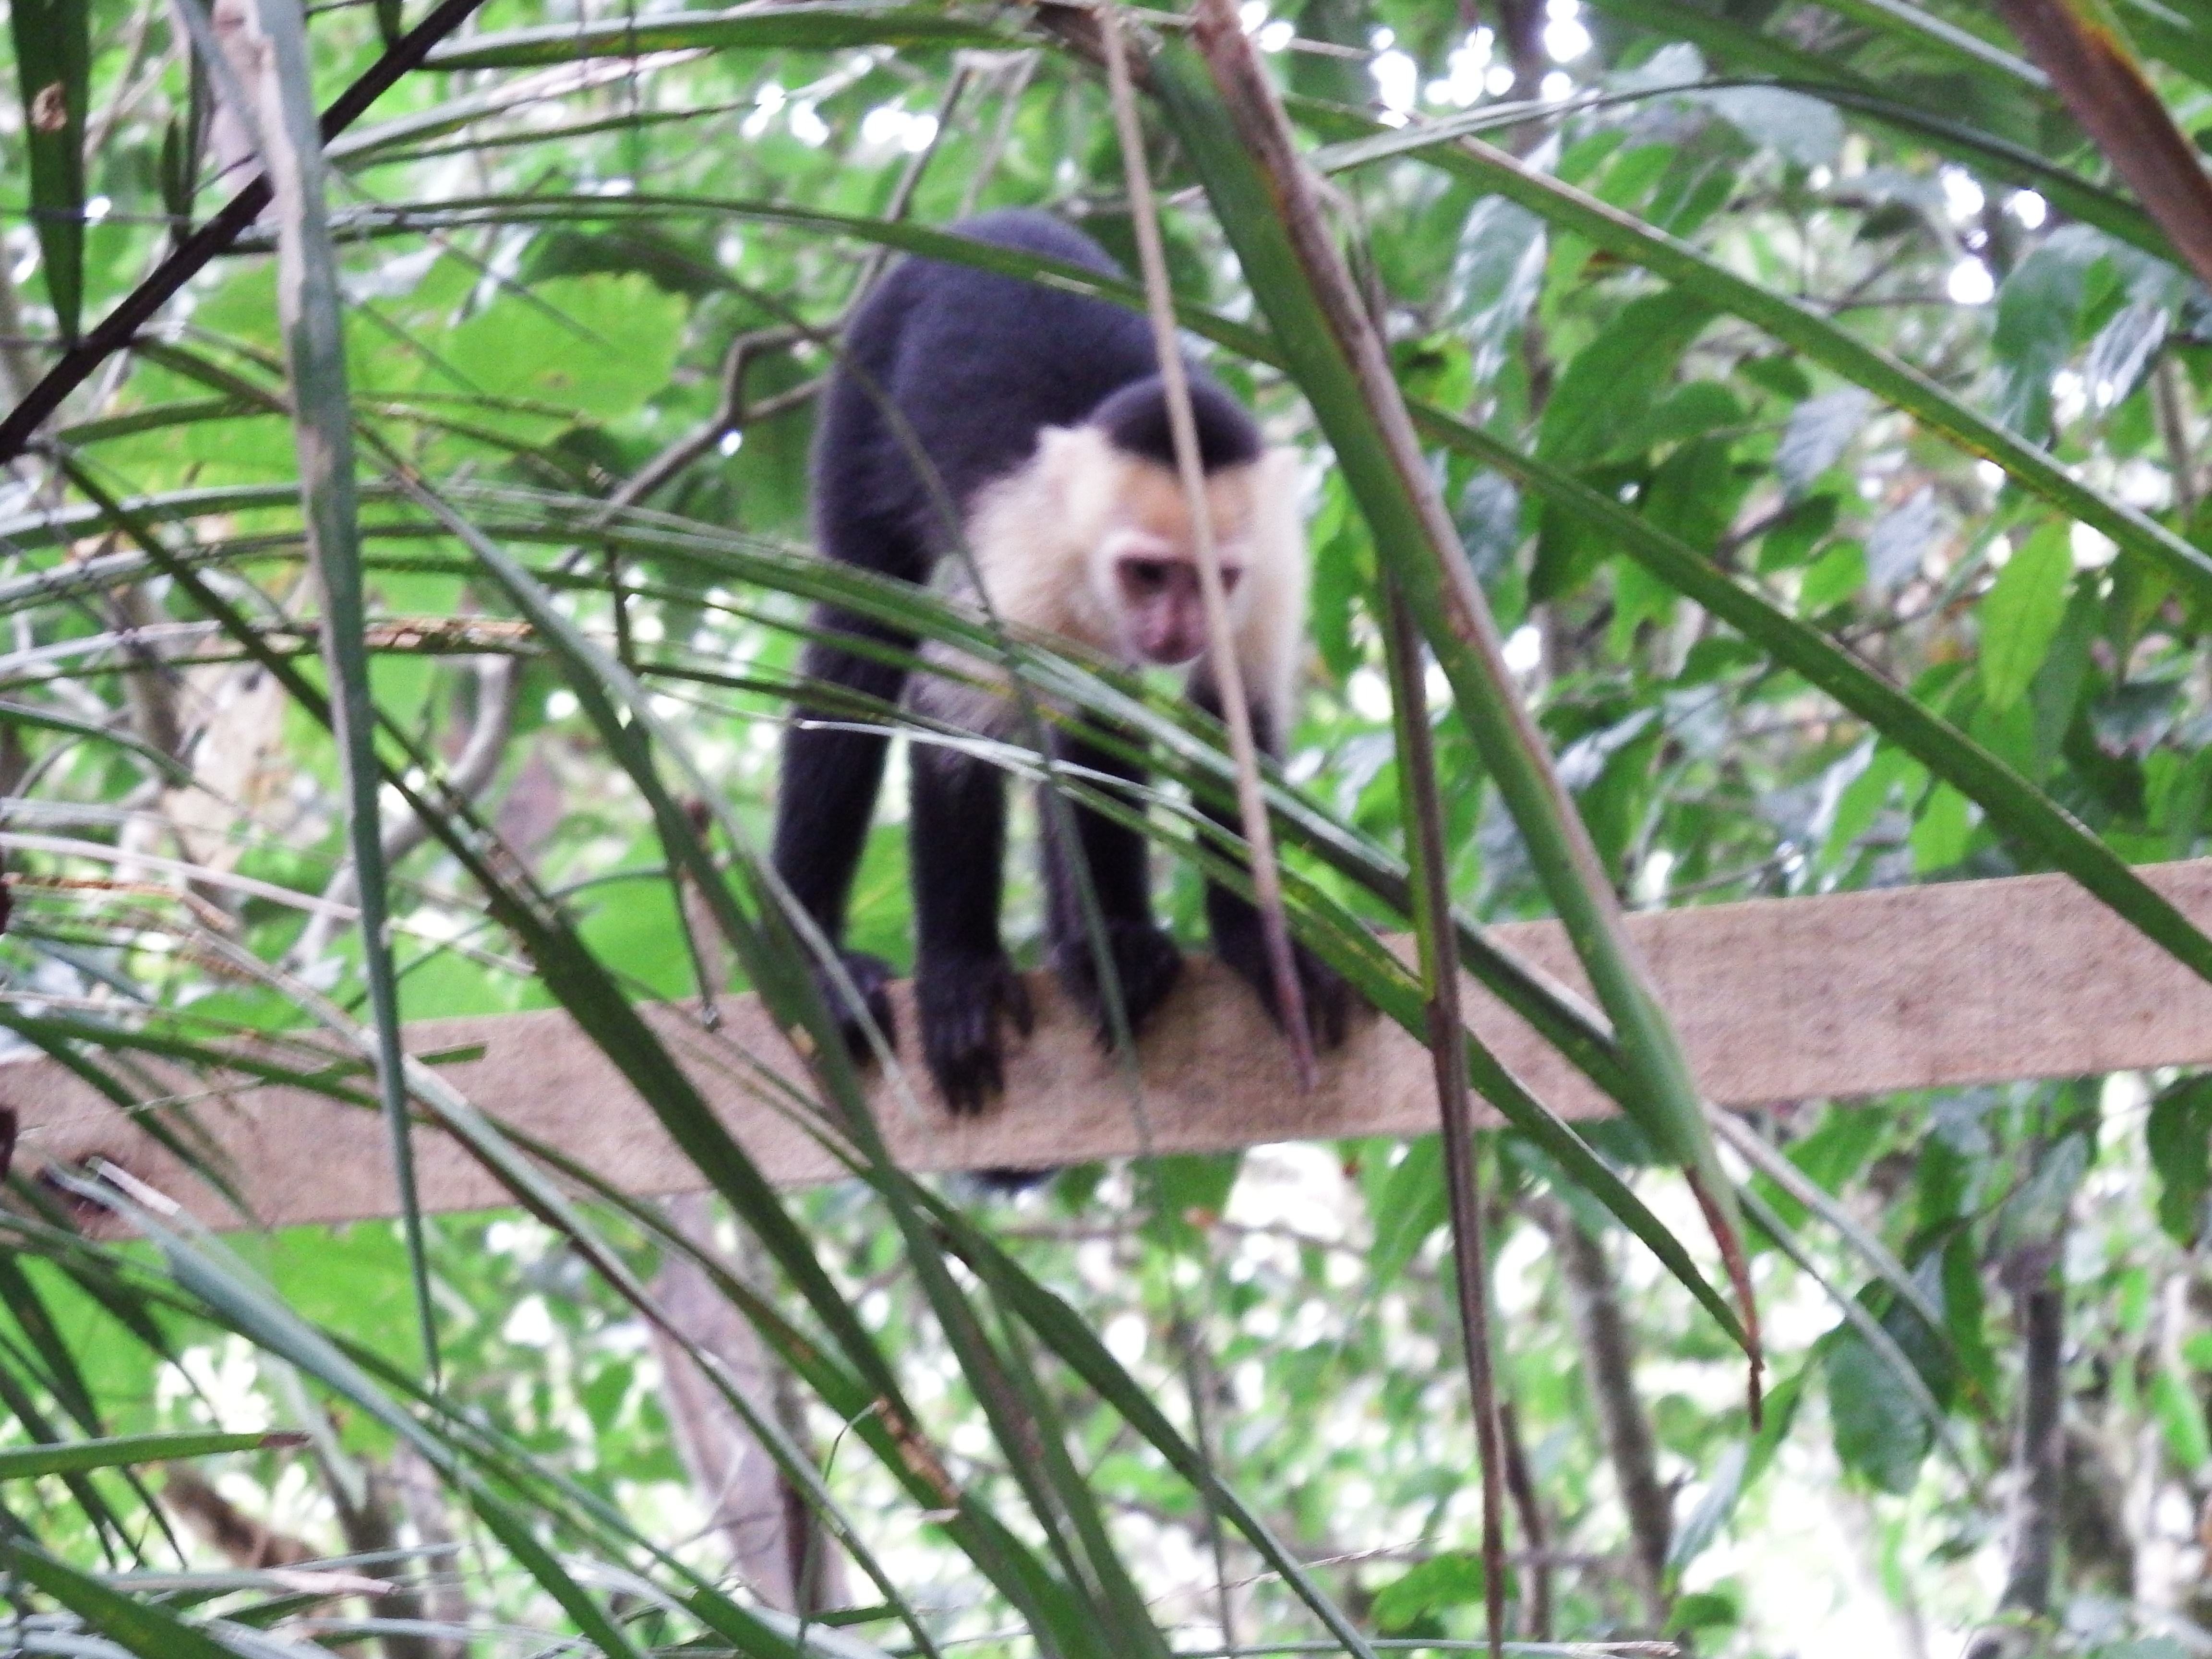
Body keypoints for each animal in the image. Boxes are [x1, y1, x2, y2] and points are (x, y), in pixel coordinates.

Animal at [771, 208, 1350, 1113]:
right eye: (1148, 571)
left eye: (1212, 578)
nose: (1175, 626)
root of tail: (991, 220)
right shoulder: (1026, 557)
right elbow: (953, 720)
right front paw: (962, 973)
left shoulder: (1269, 564)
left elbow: (1229, 728)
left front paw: (1256, 943)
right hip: (865, 378)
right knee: (859, 639)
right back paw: (816, 969)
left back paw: (1103, 946)